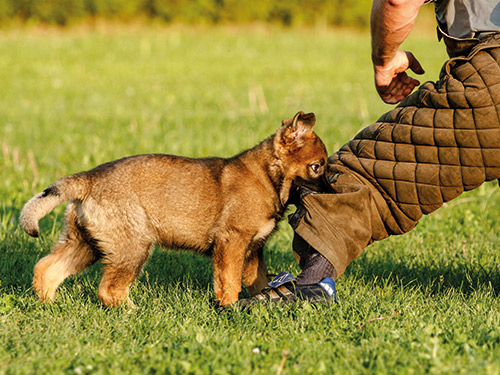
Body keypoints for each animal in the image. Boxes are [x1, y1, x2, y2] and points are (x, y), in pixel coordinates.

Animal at [20, 111, 328, 308]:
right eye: (317, 166)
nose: (333, 186)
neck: (268, 177)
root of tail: (89, 178)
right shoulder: (232, 241)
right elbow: (229, 281)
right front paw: (229, 308)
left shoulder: (253, 249)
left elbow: (257, 281)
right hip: (132, 246)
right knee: (109, 289)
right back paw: (133, 312)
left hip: (87, 242)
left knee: (46, 268)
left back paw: (49, 306)